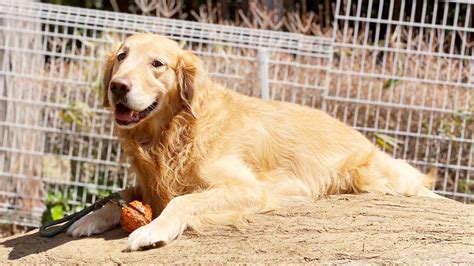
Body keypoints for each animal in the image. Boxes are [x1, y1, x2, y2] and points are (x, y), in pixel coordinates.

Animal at [67, 33, 444, 251]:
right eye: (121, 57)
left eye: (157, 63)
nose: (117, 86)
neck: (175, 133)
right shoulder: (150, 184)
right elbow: (118, 197)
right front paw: (89, 219)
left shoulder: (247, 188)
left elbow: (182, 201)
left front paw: (153, 230)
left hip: (374, 174)